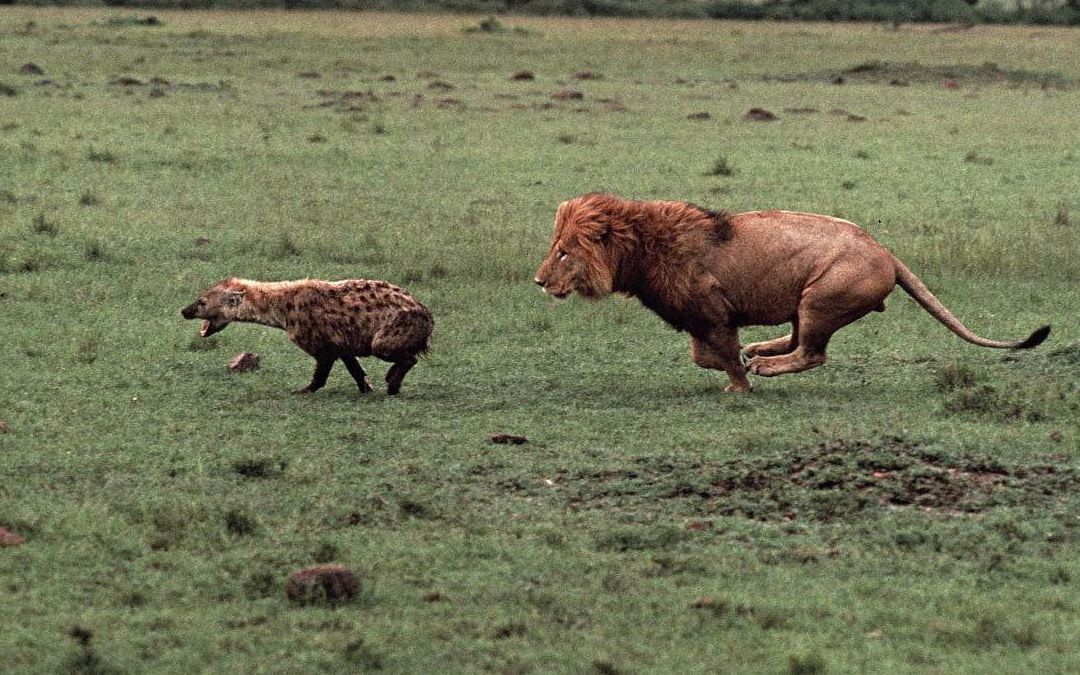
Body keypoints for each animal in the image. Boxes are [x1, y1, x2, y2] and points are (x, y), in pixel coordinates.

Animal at [535, 192, 1049, 393]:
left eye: (562, 252)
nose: (538, 281)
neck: (640, 249)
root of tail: (885, 250)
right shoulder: (699, 317)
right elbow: (703, 356)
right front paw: (735, 368)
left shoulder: (711, 311)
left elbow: (721, 354)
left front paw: (740, 385)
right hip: (808, 303)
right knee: (799, 339)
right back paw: (762, 348)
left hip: (822, 298)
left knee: (812, 353)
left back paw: (764, 363)